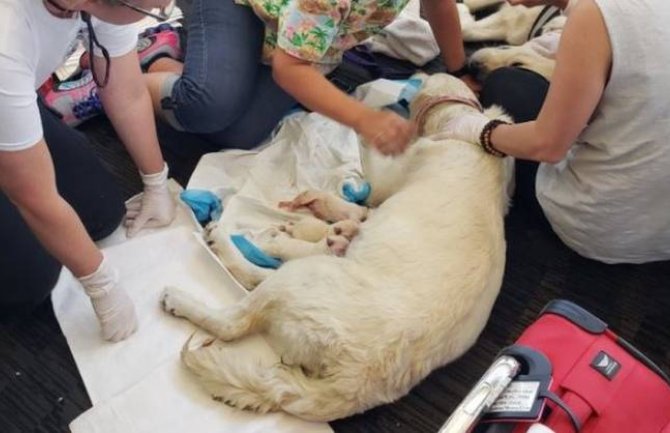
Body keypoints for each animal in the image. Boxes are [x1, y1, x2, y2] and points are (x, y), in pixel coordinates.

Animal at [159, 74, 516, 422]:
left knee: (237, 311)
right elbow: (357, 209)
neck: (463, 126)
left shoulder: (386, 180)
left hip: (303, 278)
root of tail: (352, 382)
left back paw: (195, 281)